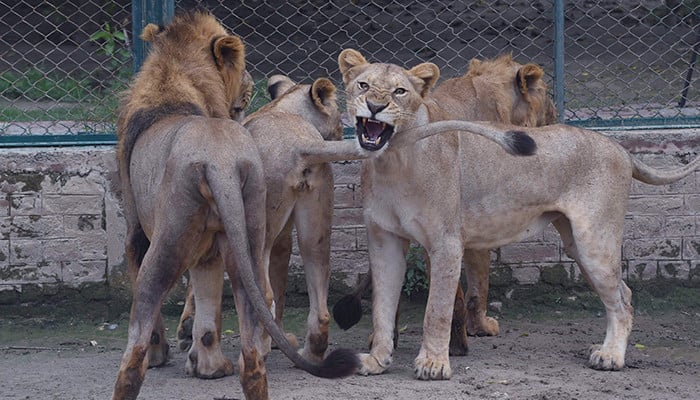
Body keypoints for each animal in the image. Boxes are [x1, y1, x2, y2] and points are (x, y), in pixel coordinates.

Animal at [175, 72, 372, 372]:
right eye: (340, 114)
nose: (342, 132)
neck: (285, 109)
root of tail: (301, 145)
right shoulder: (283, 239)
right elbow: (280, 285)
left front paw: (190, 337)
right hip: (315, 229)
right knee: (320, 304)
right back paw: (309, 353)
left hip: (257, 230)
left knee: (263, 293)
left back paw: (255, 355)